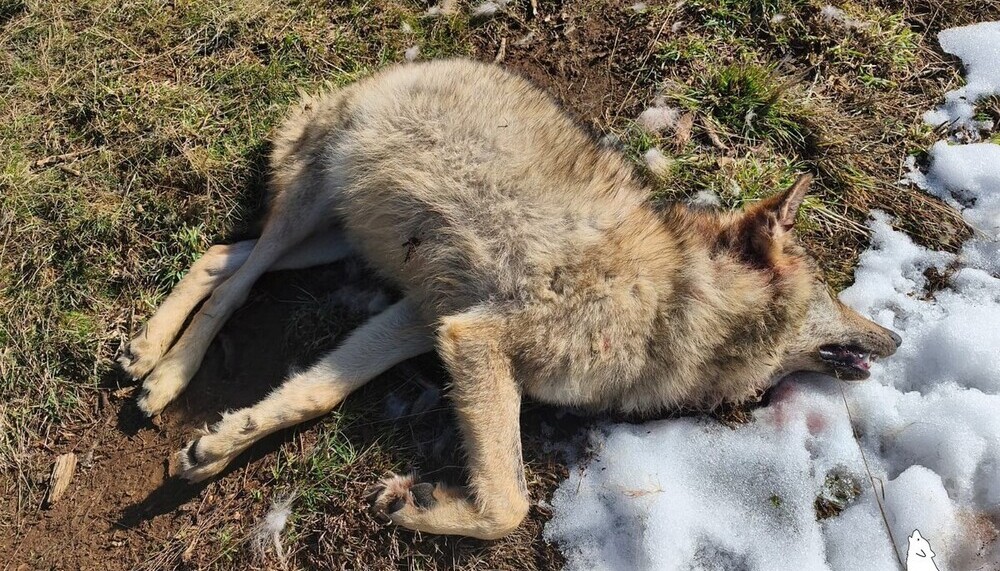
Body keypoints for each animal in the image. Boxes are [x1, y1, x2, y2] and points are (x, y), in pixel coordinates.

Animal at [119, 59, 901, 540]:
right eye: (833, 294)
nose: (896, 339)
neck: (670, 302)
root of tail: (405, 67)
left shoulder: (428, 318)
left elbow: (311, 394)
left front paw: (220, 444)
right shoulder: (475, 339)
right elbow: (509, 505)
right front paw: (417, 507)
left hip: (336, 239)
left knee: (221, 256)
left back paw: (152, 358)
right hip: (311, 210)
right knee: (239, 277)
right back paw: (163, 373)